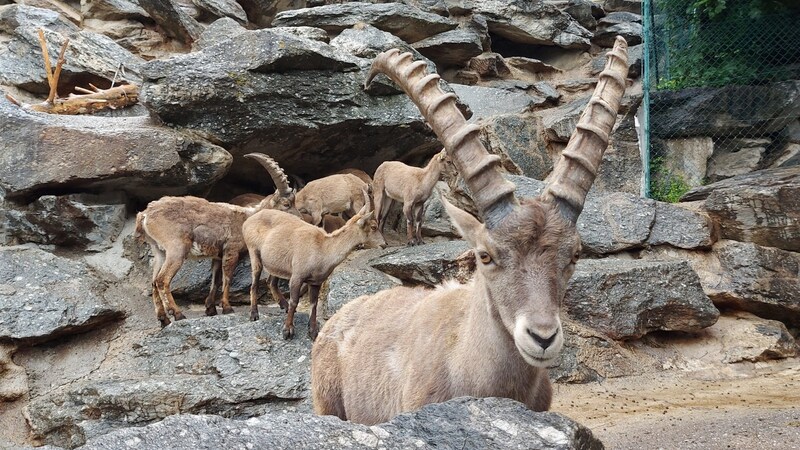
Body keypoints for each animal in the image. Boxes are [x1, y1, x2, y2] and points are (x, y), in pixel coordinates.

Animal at [134, 153, 296, 326]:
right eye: (286, 204)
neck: (248, 218)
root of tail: (145, 214)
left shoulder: (217, 256)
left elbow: (215, 281)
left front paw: (211, 309)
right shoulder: (231, 250)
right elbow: (227, 279)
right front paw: (227, 308)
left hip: (159, 251)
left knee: (153, 282)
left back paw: (163, 319)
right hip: (176, 249)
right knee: (162, 280)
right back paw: (178, 314)